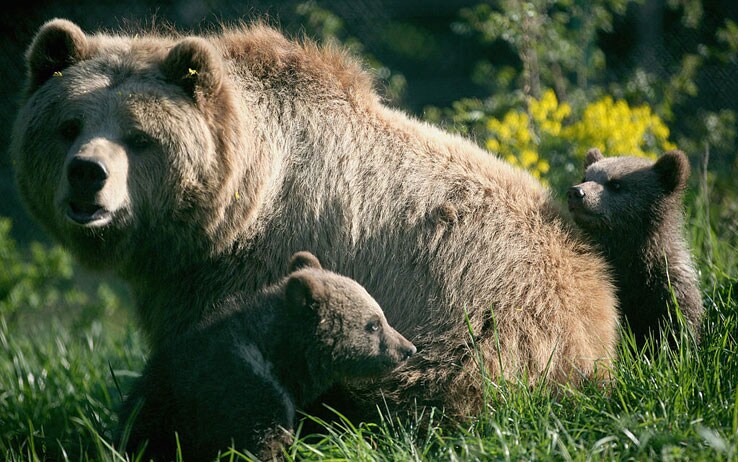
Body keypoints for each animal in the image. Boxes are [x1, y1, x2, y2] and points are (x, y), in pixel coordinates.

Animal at [11, 19, 620, 418]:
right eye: (68, 124)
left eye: (140, 137)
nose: (87, 174)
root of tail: (599, 312)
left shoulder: (253, 264)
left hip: (481, 323)